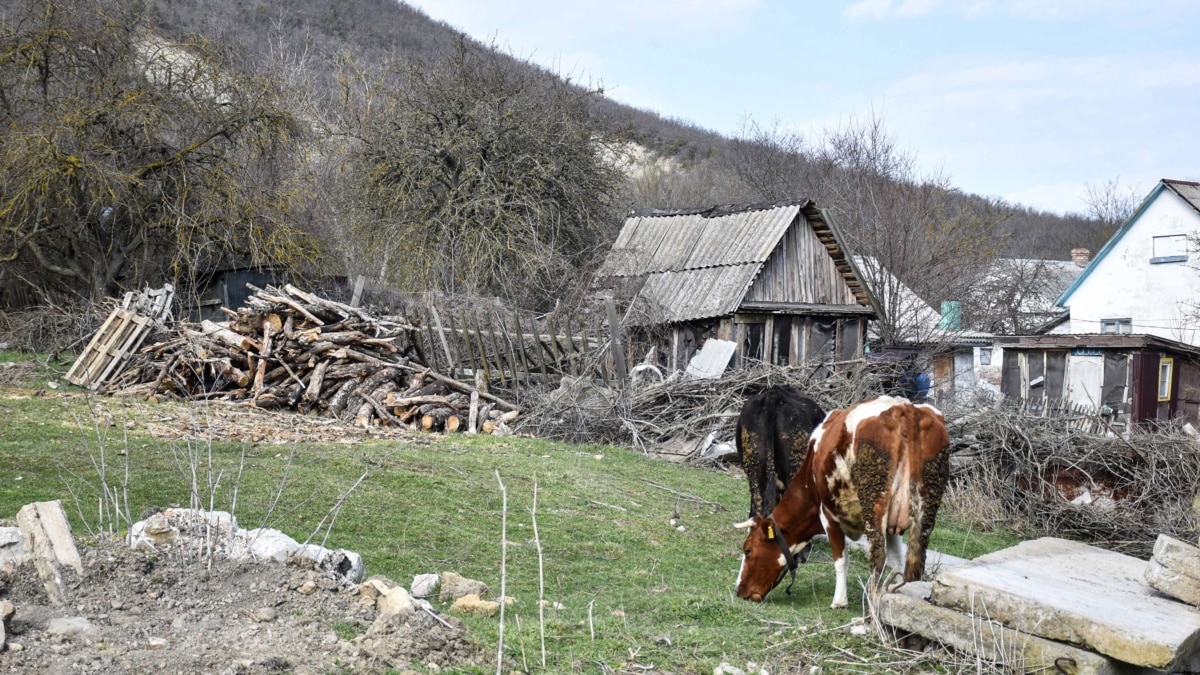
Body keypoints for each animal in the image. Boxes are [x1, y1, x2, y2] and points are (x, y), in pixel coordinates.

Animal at [729, 391, 945, 607]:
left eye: (748, 550)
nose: (739, 590)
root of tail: (903, 407)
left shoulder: (827, 514)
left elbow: (841, 559)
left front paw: (839, 601)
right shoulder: (893, 526)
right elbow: (897, 560)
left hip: (875, 503)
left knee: (878, 556)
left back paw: (872, 600)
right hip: (925, 508)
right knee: (915, 561)